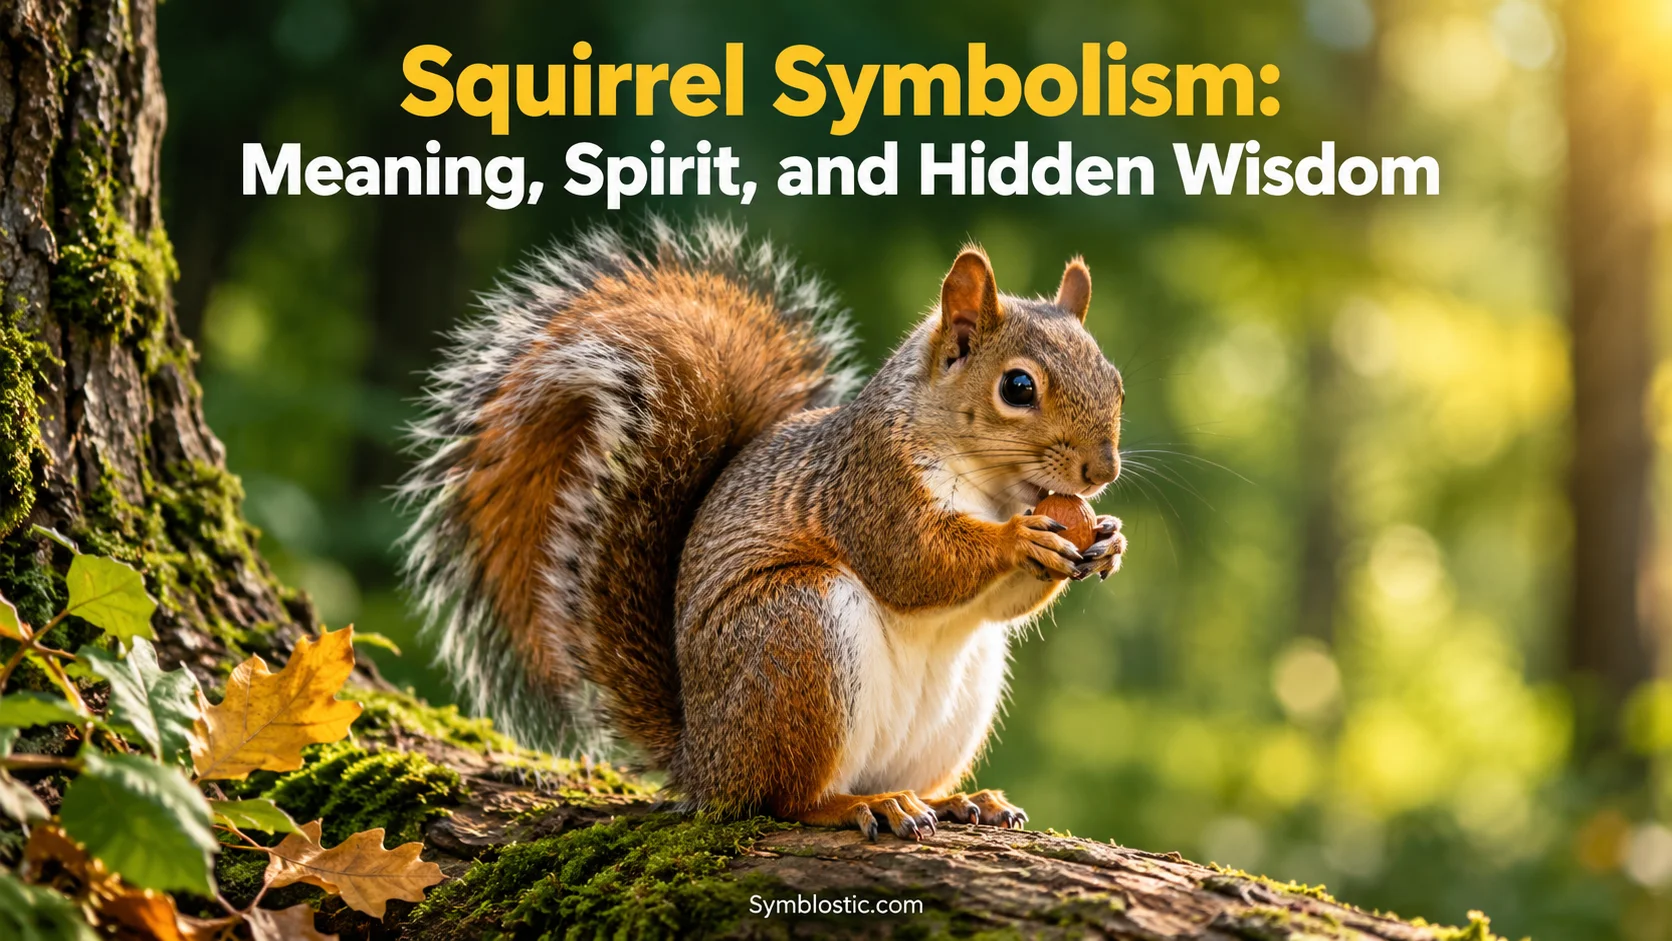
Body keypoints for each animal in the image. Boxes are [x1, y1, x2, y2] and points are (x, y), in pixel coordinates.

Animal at [399, 217, 1126, 839]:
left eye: (1116, 381)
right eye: (1018, 387)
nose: (1102, 470)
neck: (994, 488)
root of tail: (702, 761)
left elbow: (999, 601)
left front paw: (1107, 540)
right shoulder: (869, 488)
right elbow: (915, 563)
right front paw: (1019, 541)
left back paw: (955, 799)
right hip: (795, 635)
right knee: (784, 798)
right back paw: (861, 805)